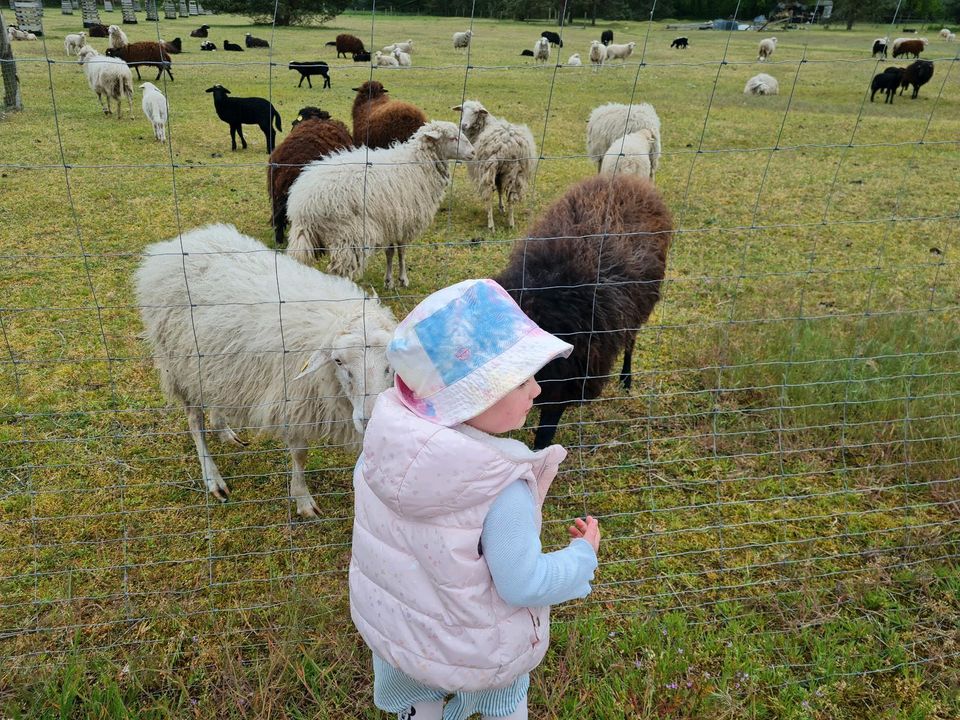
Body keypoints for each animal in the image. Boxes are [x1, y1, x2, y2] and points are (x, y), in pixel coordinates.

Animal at [133, 224, 396, 516]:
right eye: (338, 361)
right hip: (178, 364)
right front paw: (303, 500)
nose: (368, 419)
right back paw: (213, 477)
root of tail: (177, 243)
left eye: (391, 362)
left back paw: (224, 431)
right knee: (194, 422)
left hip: (209, 363)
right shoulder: (293, 401)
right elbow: (300, 454)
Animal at [286, 120, 478, 286]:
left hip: (307, 237)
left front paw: (389, 280)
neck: (419, 163)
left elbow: (391, 252)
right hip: (349, 235)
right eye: (453, 138)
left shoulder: (391, 221)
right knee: (339, 270)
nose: (473, 153)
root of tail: (302, 204)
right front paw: (403, 279)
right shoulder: (405, 221)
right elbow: (402, 250)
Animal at [454, 98, 536, 231]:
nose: (463, 125)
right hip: (517, 172)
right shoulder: (501, 173)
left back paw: (491, 225)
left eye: (476, 112)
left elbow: (497, 190)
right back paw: (511, 222)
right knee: (512, 197)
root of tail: (507, 144)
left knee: (488, 196)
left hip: (488, 168)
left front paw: (499, 208)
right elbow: (500, 189)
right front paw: (502, 207)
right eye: (462, 110)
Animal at [492, 173, 672, 450]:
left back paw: (626, 380)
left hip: (640, 306)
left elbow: (543, 440)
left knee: (631, 341)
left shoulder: (565, 384)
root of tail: (628, 180)